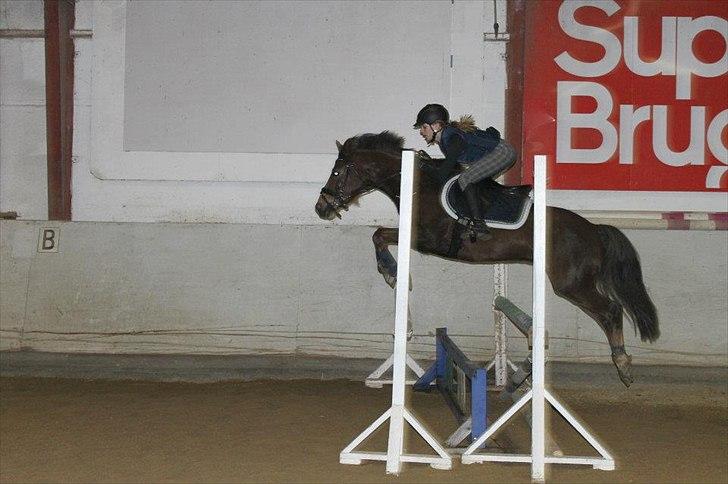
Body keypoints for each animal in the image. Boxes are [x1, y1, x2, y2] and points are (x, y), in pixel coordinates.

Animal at [314, 130, 660, 388]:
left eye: (336, 172)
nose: (321, 207)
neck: (418, 187)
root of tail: (593, 229)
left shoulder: (426, 239)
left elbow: (379, 234)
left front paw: (391, 273)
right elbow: (378, 235)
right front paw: (393, 273)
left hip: (572, 284)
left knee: (611, 311)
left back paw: (623, 365)